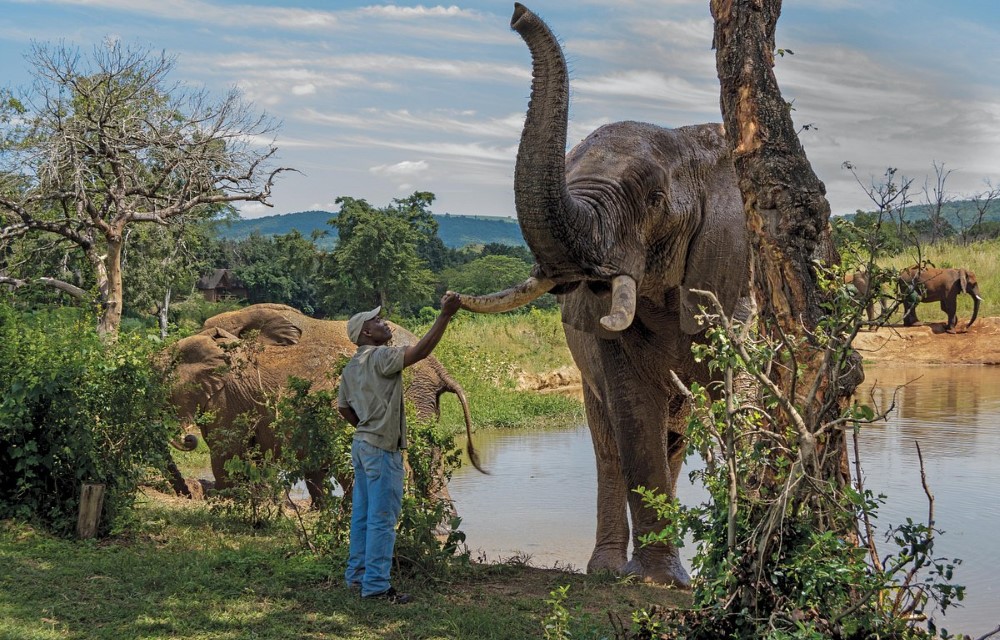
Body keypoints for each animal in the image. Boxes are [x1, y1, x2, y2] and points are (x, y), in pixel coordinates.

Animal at [456, 4, 751, 587]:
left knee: (672, 437)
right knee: (612, 444)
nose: (516, 13)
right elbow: (634, 415)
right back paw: (608, 572)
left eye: (655, 200)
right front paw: (657, 582)